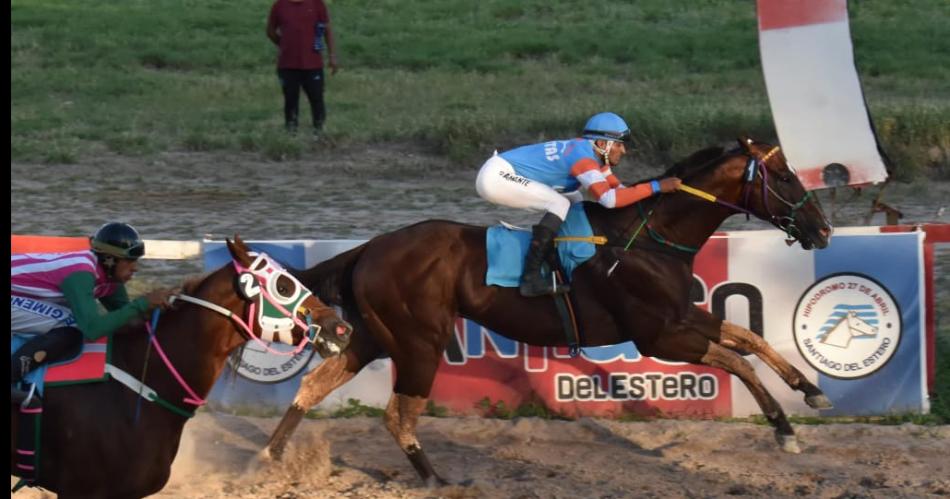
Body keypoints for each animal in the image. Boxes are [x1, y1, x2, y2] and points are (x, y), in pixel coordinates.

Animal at [266, 137, 832, 484]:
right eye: (784, 177)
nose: (823, 229)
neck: (648, 237)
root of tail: (369, 247)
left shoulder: (680, 316)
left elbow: (750, 339)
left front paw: (811, 390)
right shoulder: (660, 336)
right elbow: (736, 359)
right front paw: (784, 430)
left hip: (372, 334)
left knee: (313, 387)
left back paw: (271, 457)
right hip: (418, 341)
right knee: (397, 415)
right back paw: (436, 481)